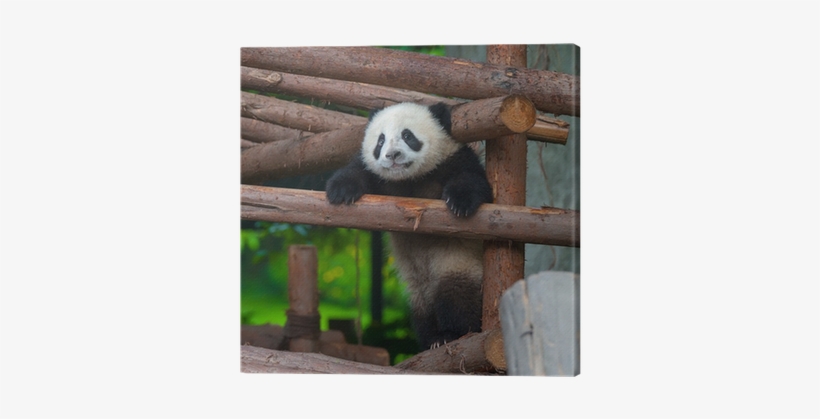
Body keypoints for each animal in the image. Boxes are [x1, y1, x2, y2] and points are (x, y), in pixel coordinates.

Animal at [326, 102, 493, 349]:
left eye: (407, 135)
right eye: (380, 140)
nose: (392, 155)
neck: (409, 179)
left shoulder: (453, 159)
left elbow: (472, 180)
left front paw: (460, 202)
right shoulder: (381, 179)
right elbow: (358, 170)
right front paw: (340, 191)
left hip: (458, 263)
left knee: (458, 296)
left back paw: (451, 333)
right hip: (417, 285)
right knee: (422, 307)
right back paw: (431, 337)